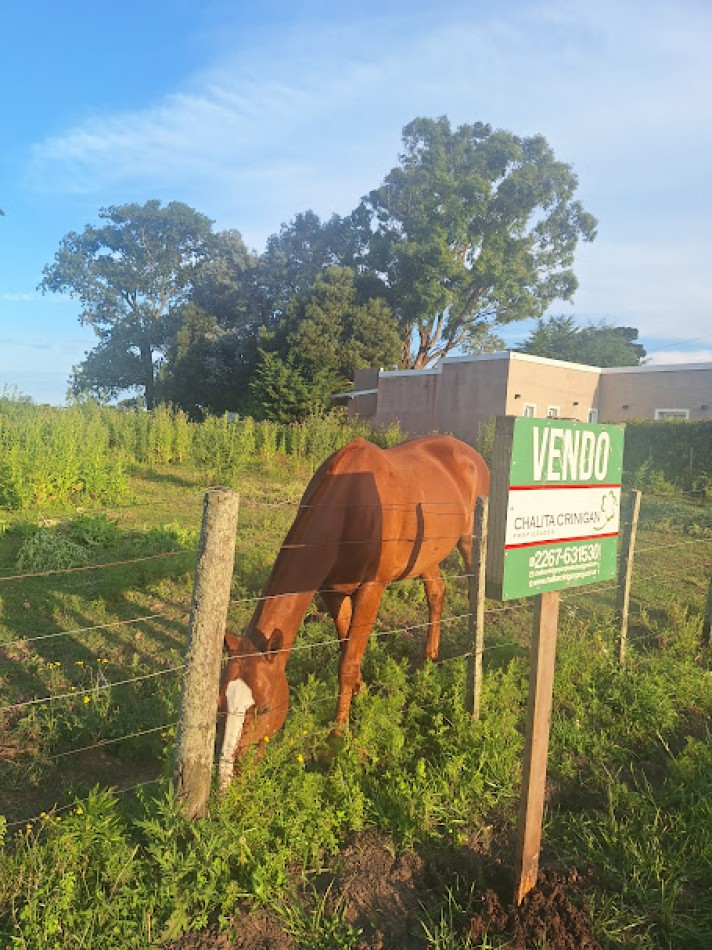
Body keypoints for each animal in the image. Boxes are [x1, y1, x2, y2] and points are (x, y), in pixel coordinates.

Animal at [217, 434, 490, 788]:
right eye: (221, 704)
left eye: (262, 708)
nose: (228, 778)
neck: (350, 507)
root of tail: (471, 455)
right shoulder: (332, 591)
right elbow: (346, 642)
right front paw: (360, 689)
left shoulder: (371, 589)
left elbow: (346, 662)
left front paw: (337, 737)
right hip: (425, 555)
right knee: (436, 594)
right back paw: (430, 657)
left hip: (470, 542)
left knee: (474, 591)